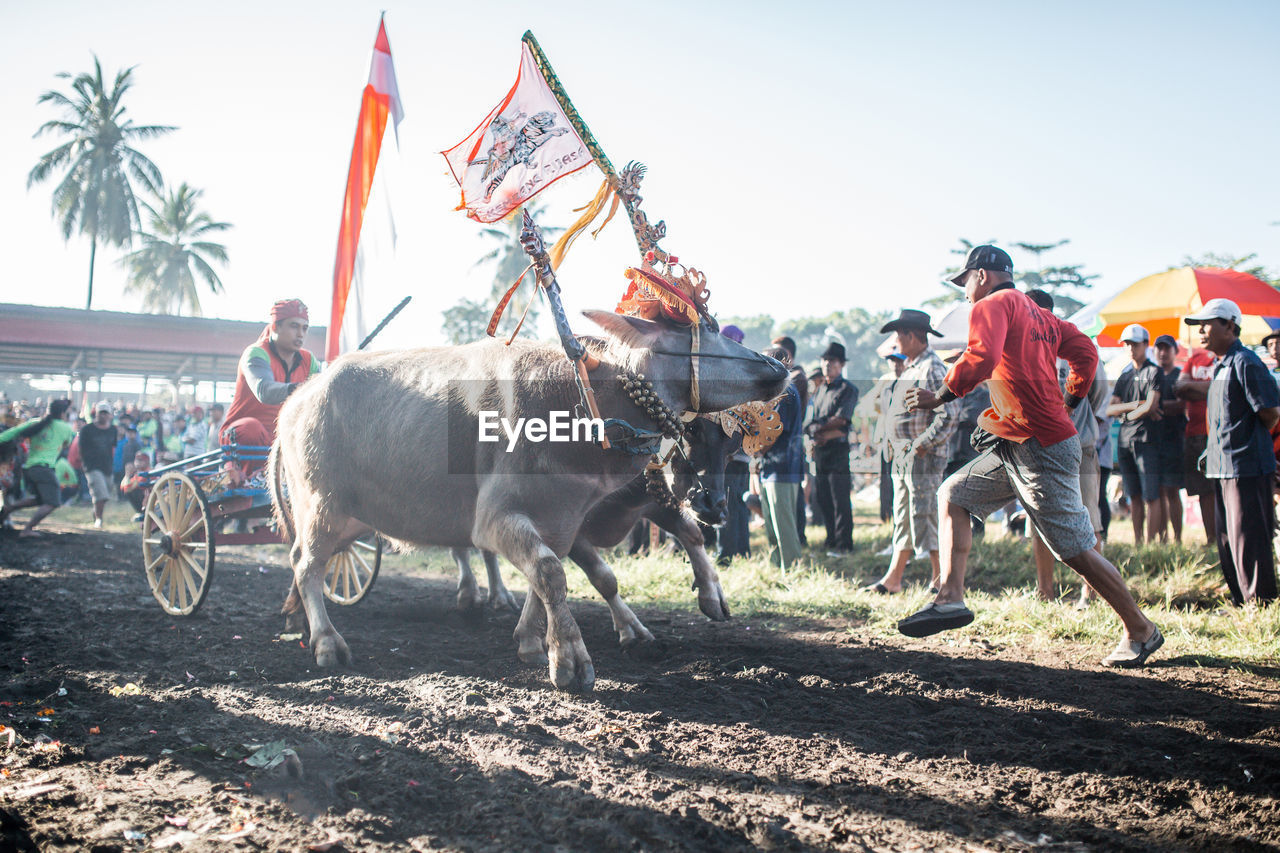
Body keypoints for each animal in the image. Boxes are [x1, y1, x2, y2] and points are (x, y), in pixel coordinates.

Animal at [275, 312, 783, 691]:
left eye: (732, 444)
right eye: (707, 332)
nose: (778, 365)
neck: (579, 405)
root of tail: (297, 401)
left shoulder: (565, 521)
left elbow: (552, 578)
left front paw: (532, 641)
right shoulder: (495, 519)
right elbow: (552, 573)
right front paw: (571, 659)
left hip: (348, 520)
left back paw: (300, 620)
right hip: (321, 507)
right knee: (306, 564)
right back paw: (327, 641)